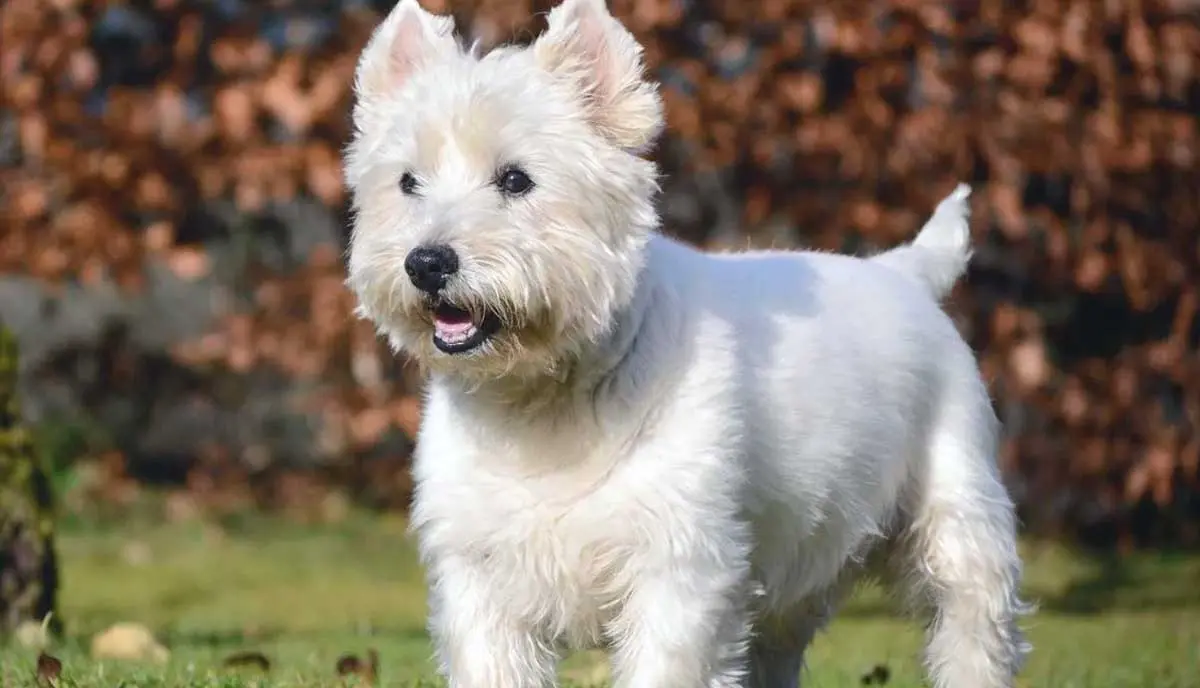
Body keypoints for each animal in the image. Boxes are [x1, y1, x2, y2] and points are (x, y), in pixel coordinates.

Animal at [340, 0, 1032, 681]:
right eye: (407, 182)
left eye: (516, 180)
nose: (427, 263)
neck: (541, 404)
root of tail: (904, 271)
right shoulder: (479, 577)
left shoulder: (681, 566)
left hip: (956, 510)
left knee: (971, 625)